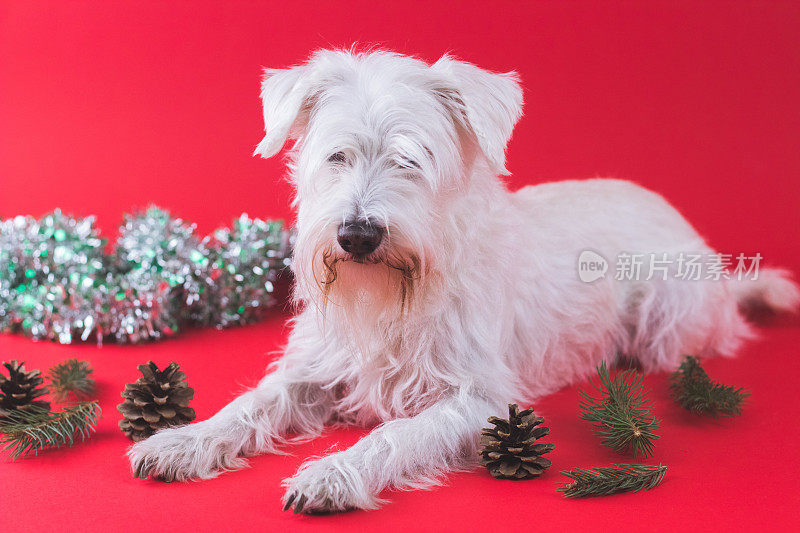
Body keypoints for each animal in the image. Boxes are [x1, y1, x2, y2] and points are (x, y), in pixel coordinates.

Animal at [128, 48, 796, 512]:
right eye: (337, 156)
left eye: (412, 158)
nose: (358, 234)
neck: (390, 300)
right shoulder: (315, 371)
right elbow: (250, 404)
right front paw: (181, 441)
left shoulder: (477, 401)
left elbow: (396, 435)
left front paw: (332, 473)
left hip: (669, 328)